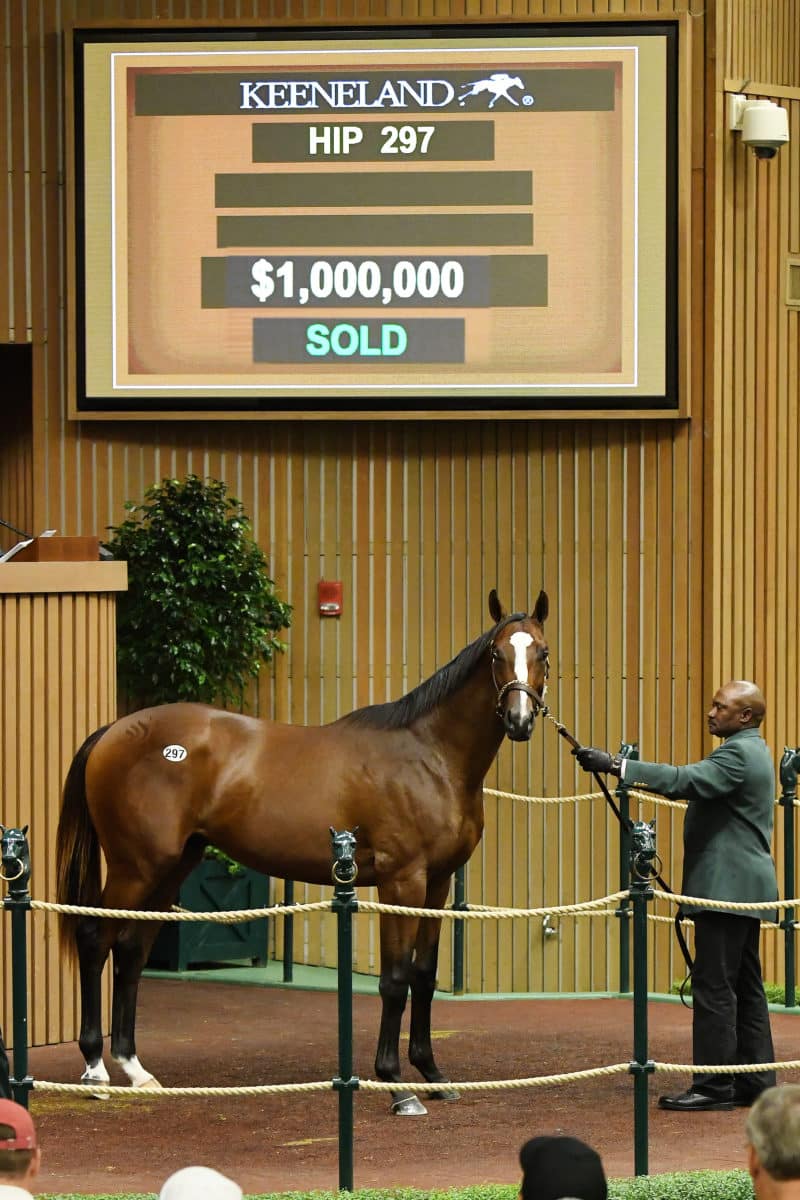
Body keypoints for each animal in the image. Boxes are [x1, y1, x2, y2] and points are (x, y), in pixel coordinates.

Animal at [56, 590, 551, 1113]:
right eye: (496, 654)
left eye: (543, 653)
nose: (519, 720)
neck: (429, 756)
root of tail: (112, 731)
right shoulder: (402, 882)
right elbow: (395, 980)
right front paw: (396, 1085)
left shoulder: (436, 884)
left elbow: (424, 974)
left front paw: (434, 1075)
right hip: (135, 867)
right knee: (95, 939)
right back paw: (94, 1071)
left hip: (171, 866)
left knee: (131, 947)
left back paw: (135, 1069)